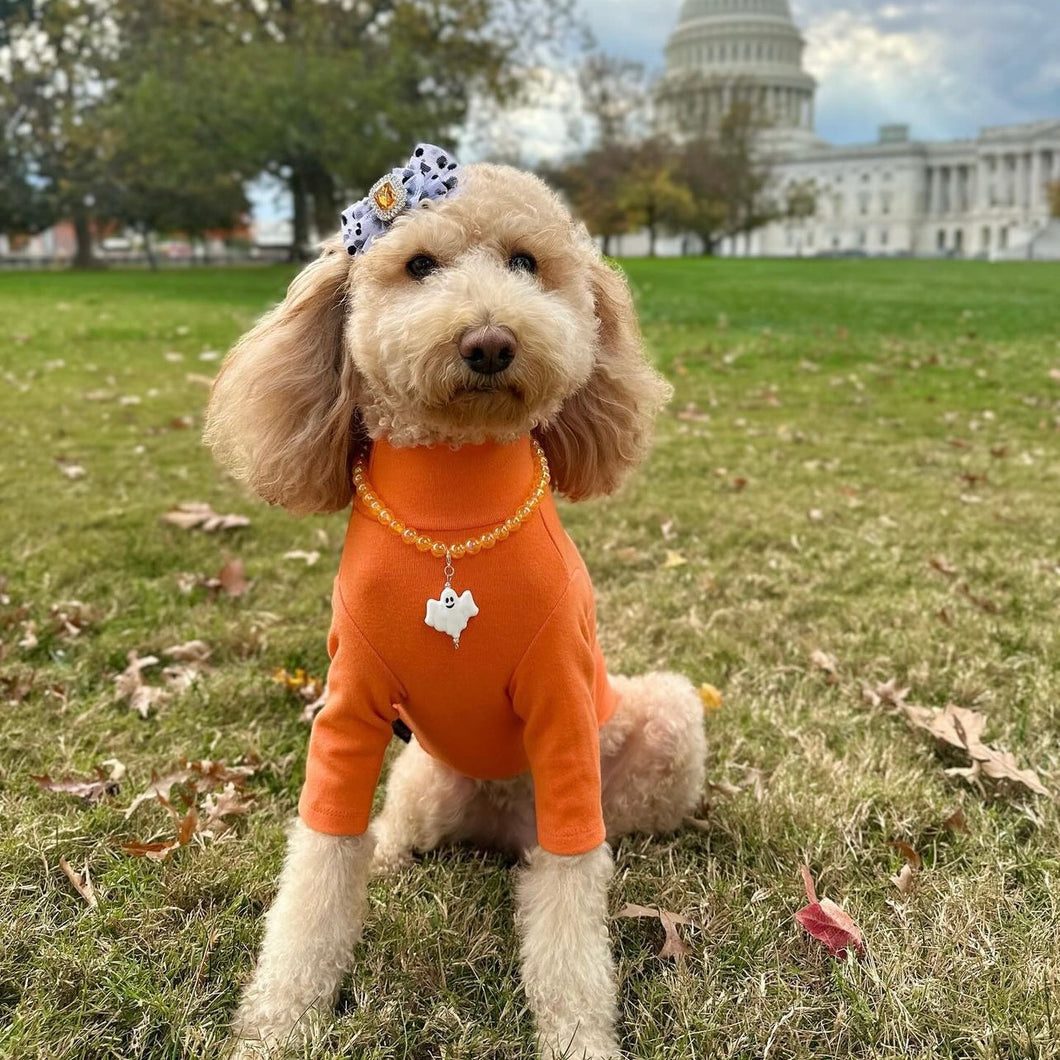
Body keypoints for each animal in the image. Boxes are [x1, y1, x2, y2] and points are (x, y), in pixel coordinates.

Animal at [202, 143, 708, 1060]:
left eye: (527, 263)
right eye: (418, 266)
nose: (490, 342)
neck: (453, 512)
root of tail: (503, 830)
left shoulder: (561, 711)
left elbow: (572, 906)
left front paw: (579, 1036)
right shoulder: (350, 710)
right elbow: (320, 858)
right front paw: (279, 1021)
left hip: (666, 718)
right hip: (425, 778)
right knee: (392, 834)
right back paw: (389, 859)